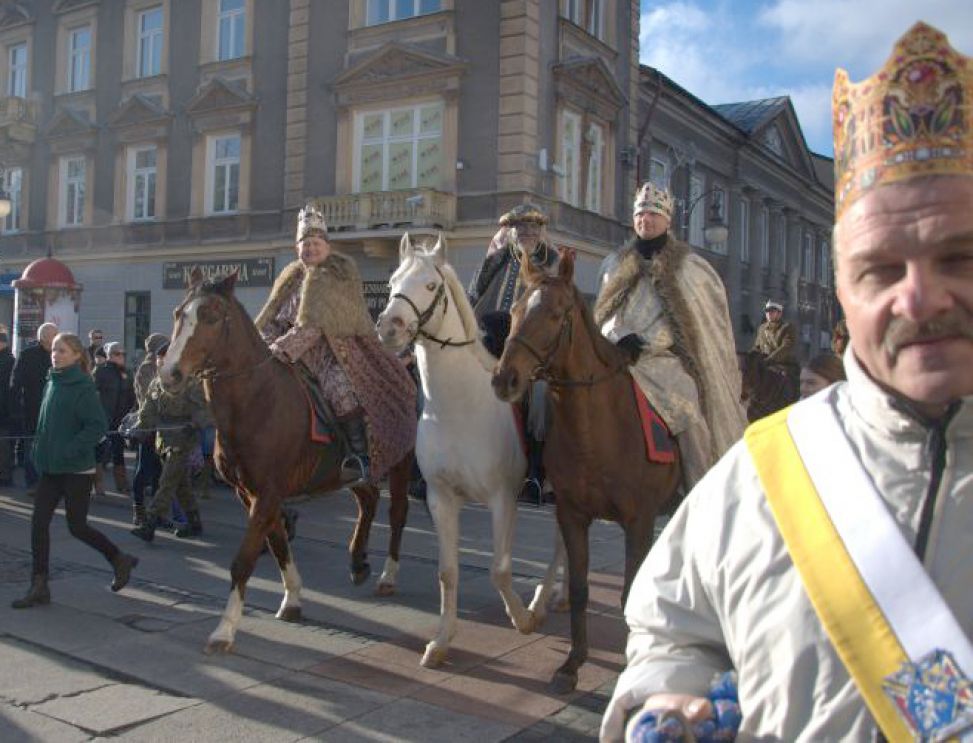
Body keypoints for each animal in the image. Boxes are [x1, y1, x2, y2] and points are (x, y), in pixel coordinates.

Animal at [159, 270, 414, 652]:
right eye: (179, 313)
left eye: (212, 316)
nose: (170, 373)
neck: (258, 400)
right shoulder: (252, 493)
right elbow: (277, 544)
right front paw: (292, 599)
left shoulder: (267, 492)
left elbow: (243, 560)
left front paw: (224, 630)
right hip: (349, 473)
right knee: (368, 501)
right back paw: (357, 562)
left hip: (399, 463)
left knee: (397, 514)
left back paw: (388, 576)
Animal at [376, 232, 564, 668]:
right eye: (392, 280)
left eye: (431, 285)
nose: (389, 327)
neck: (458, 407)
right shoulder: (441, 497)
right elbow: (447, 571)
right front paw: (441, 641)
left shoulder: (502, 498)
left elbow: (500, 569)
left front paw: (523, 619)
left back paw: (542, 600)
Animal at [486, 253, 684, 696]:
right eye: (514, 310)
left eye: (556, 313)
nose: (505, 379)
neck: (598, 432)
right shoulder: (572, 515)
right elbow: (578, 588)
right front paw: (571, 664)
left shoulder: (639, 520)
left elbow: (628, 591)